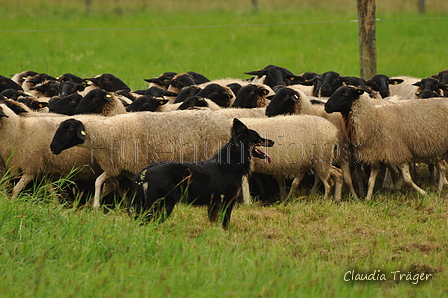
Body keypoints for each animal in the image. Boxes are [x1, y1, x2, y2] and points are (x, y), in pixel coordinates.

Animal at [131, 117, 274, 229]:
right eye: (258, 138)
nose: (272, 141)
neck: (231, 161)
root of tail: (146, 171)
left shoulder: (214, 204)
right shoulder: (227, 201)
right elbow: (225, 224)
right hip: (163, 204)